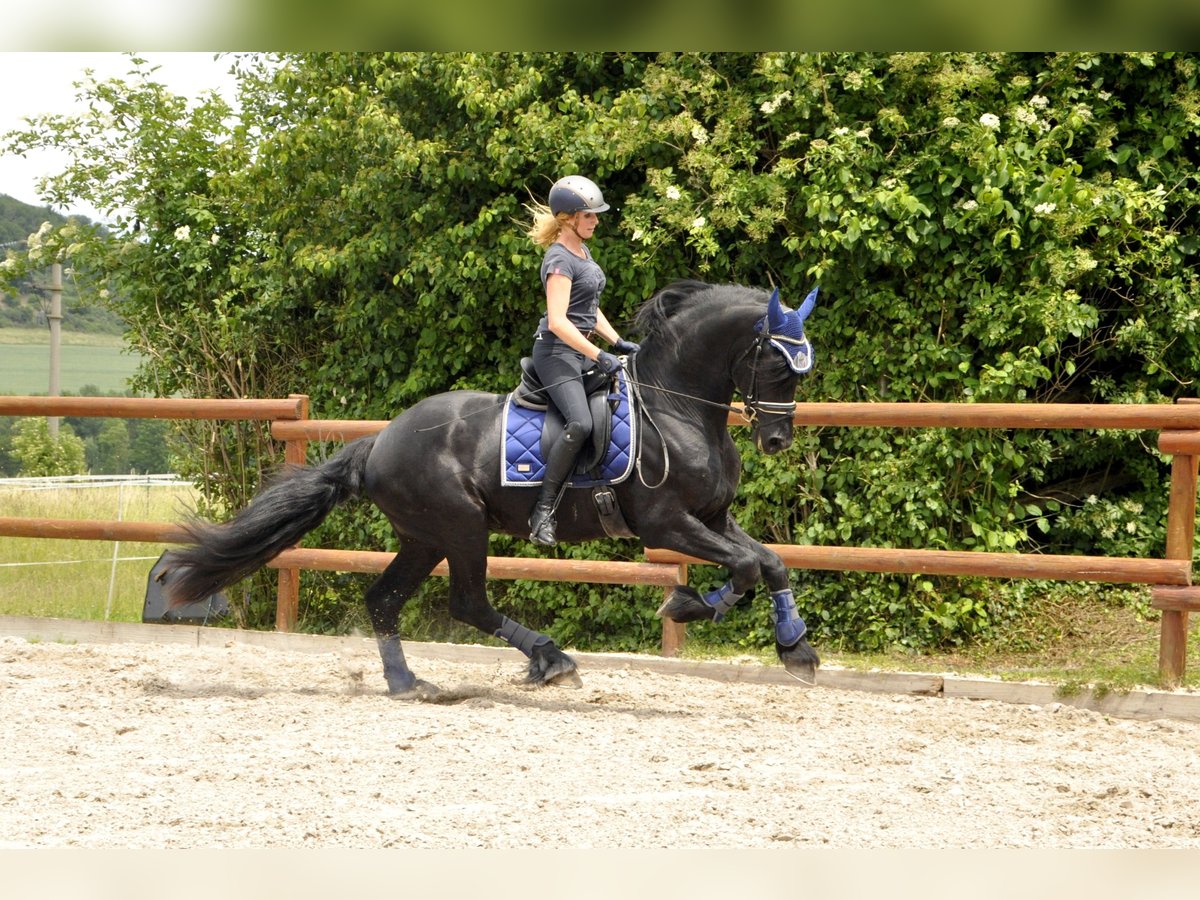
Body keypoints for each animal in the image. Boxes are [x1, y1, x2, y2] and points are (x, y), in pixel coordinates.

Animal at [161, 280, 821, 693]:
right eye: (779, 362)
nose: (777, 441)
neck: (676, 407)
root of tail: (381, 440)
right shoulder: (666, 524)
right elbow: (746, 567)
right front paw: (685, 605)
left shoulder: (711, 518)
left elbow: (770, 562)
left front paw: (797, 650)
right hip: (461, 527)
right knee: (468, 603)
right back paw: (552, 661)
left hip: (425, 537)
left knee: (384, 601)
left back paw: (407, 683)